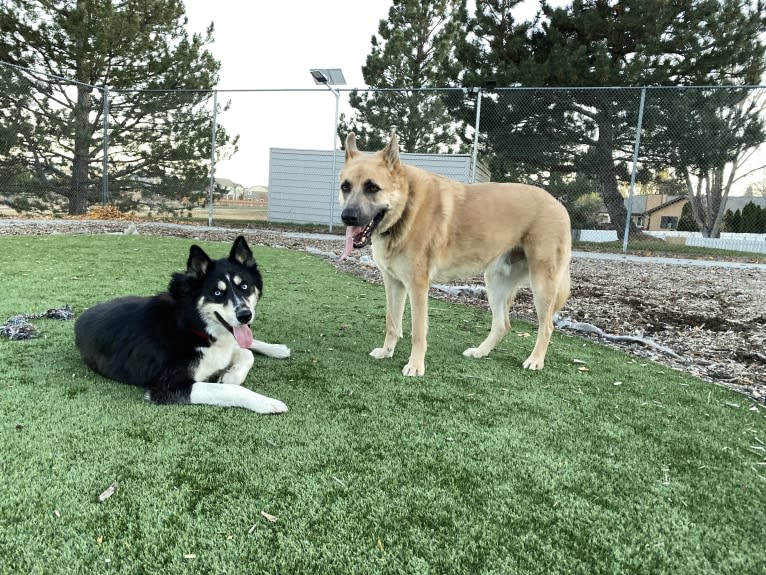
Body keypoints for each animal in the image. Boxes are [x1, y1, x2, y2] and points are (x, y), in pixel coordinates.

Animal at [76, 236, 292, 416]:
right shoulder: (168, 386)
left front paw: (231, 375)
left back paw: (278, 349)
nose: (245, 315)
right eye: (217, 293)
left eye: (245, 286)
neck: (192, 323)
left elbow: (246, 354)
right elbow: (229, 388)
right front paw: (266, 402)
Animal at [340, 134, 572, 378]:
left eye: (372, 187)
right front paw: (387, 352)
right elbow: (392, 322)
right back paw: (480, 352)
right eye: (345, 187)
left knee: (546, 327)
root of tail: (559, 204)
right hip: (496, 283)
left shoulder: (417, 285)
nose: (347, 217)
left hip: (541, 285)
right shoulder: (393, 283)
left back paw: (535, 360)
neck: (405, 209)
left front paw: (416, 365)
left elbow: (418, 331)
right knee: (502, 325)